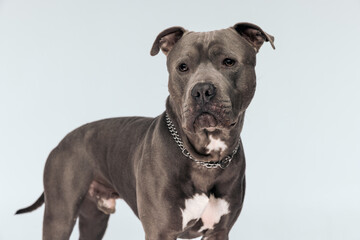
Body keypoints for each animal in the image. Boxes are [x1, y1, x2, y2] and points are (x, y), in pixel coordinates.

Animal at [16, 21, 274, 239]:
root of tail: (61, 142)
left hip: (93, 219)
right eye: (182, 67)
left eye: (229, 62)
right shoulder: (160, 231)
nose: (201, 91)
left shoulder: (219, 232)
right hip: (59, 215)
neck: (204, 159)